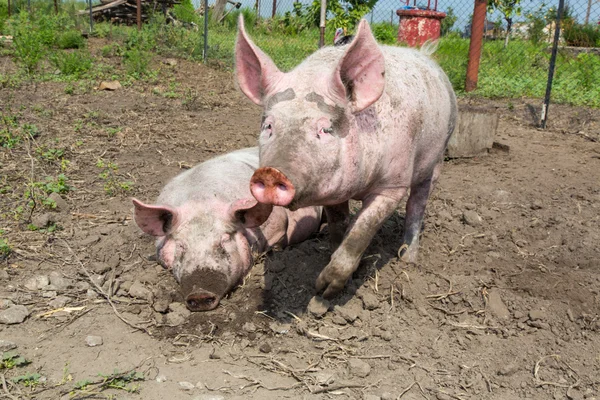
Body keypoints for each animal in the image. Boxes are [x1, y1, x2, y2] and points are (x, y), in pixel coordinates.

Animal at [234, 19, 454, 300]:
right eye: (269, 126)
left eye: (325, 129)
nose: (271, 172)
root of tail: (426, 56)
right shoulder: (332, 192)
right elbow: (339, 226)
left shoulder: (393, 184)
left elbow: (362, 231)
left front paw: (324, 291)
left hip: (438, 157)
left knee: (417, 205)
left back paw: (408, 258)